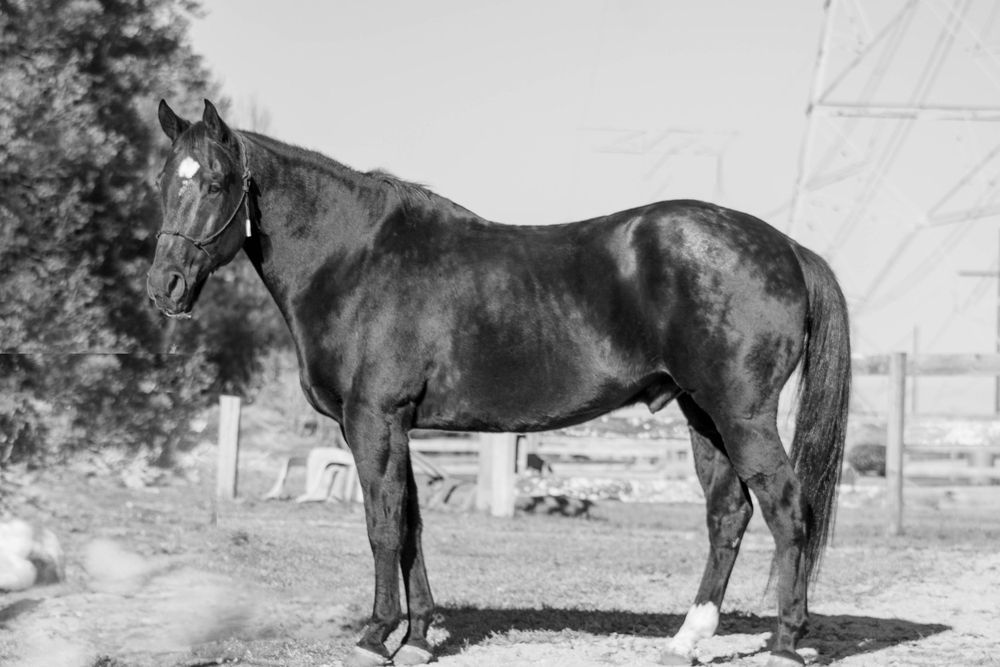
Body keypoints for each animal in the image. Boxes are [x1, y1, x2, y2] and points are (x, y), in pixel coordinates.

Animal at [147, 99, 851, 667]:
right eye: (162, 181)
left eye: (214, 182)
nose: (165, 287)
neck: (356, 259)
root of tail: (787, 248)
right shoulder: (401, 425)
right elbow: (411, 525)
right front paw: (420, 637)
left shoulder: (372, 419)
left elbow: (381, 524)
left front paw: (377, 636)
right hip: (703, 417)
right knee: (728, 513)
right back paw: (687, 640)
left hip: (742, 416)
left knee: (787, 508)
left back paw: (787, 645)